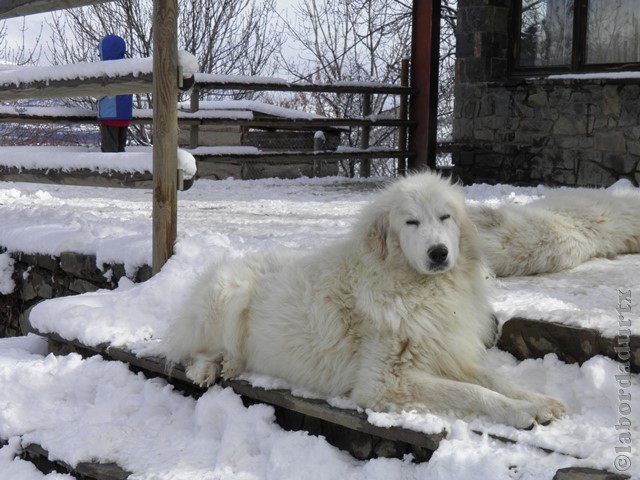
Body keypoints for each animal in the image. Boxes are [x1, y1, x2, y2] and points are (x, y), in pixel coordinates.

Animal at [165, 172, 568, 428]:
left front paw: (537, 400)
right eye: (411, 223)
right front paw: (518, 412)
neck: (416, 289)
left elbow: (491, 378)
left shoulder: (445, 351)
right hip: (227, 294)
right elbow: (471, 392)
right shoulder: (383, 382)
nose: (439, 253)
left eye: (445, 217)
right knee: (190, 351)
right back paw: (208, 368)